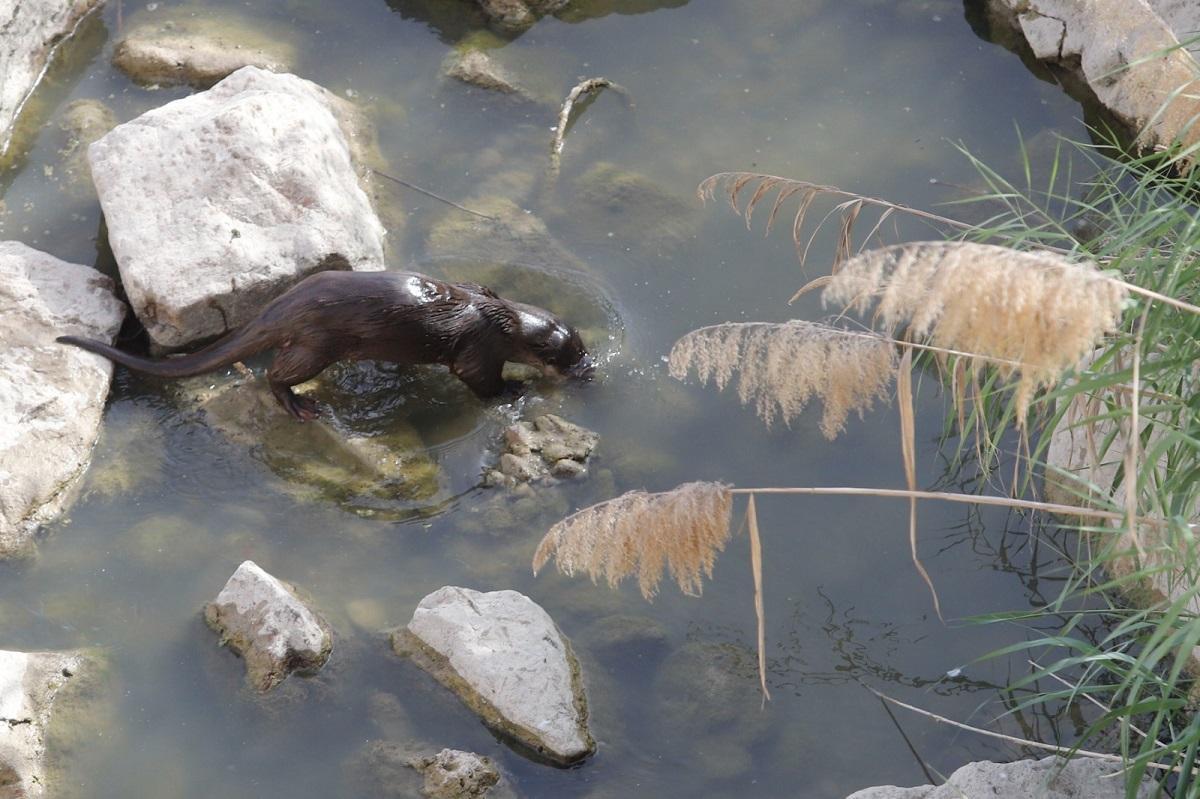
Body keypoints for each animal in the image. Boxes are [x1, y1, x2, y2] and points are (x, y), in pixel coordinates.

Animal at [58, 268, 592, 419]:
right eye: (568, 361)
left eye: (584, 349)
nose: (590, 372)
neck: (501, 318)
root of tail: (286, 303)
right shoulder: (480, 350)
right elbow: (478, 379)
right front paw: (514, 391)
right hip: (317, 345)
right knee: (277, 374)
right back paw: (298, 407)